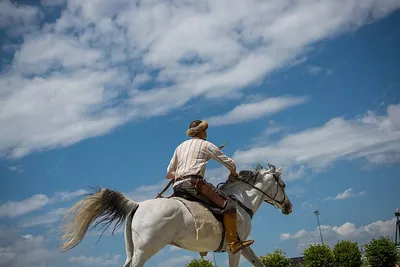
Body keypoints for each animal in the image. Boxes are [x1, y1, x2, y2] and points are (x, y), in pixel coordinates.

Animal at [60, 163, 290, 267]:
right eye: (283, 185)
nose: (289, 207)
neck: (242, 202)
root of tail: (138, 205)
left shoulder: (244, 247)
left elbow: (259, 263)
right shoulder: (235, 248)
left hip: (132, 251)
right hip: (145, 250)